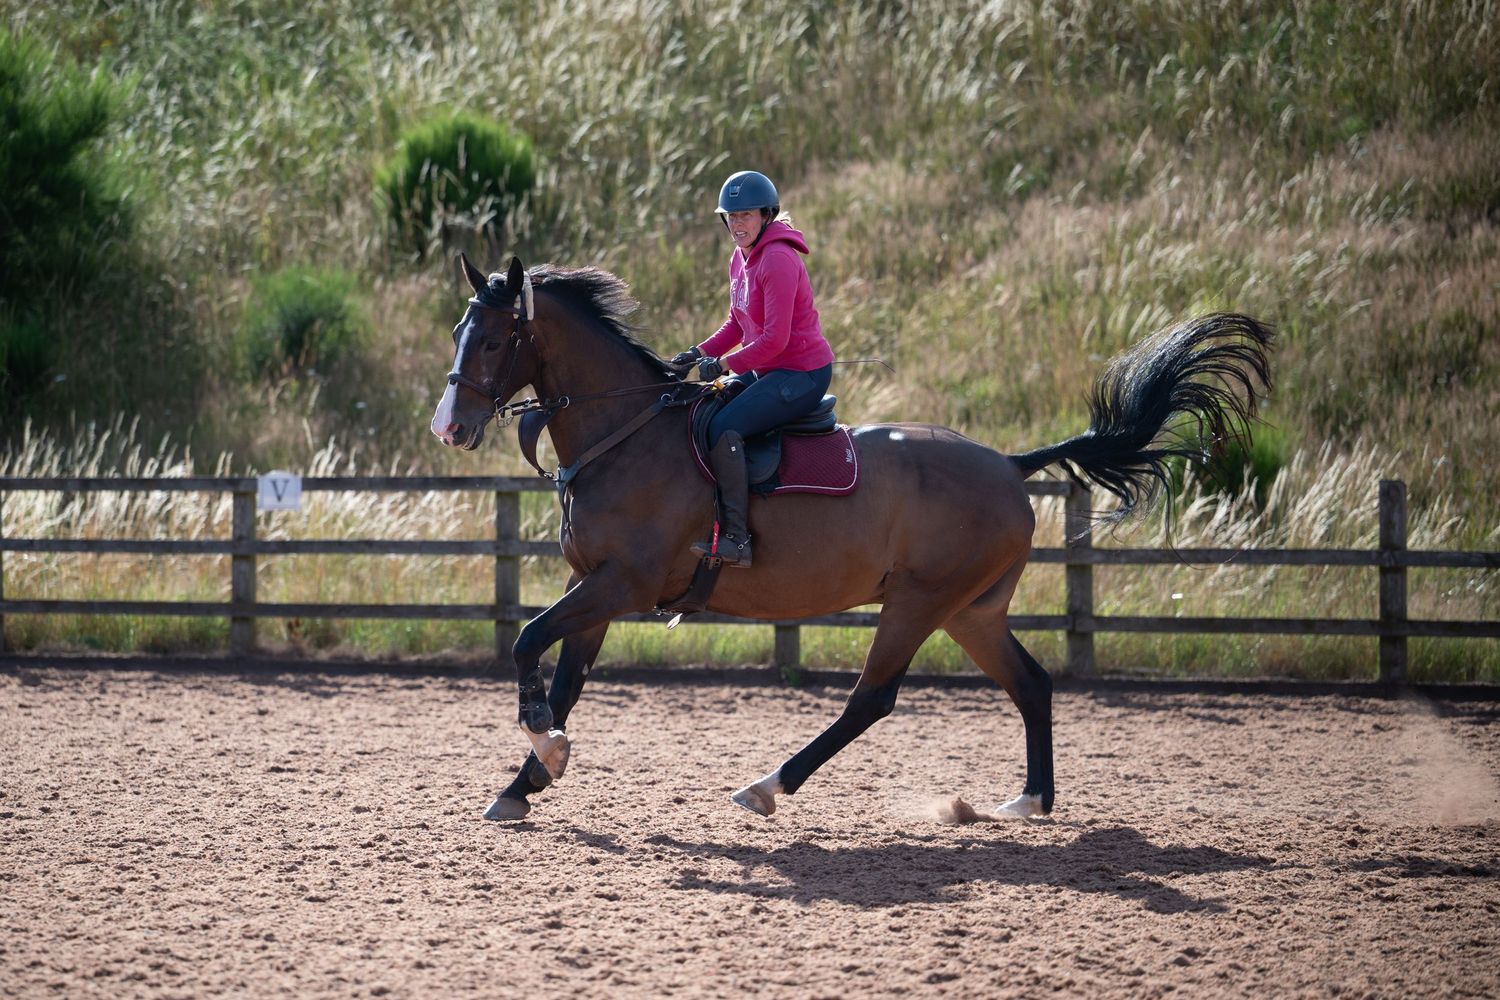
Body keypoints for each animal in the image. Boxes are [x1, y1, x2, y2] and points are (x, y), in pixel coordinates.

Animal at [430, 254, 1272, 822]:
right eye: (459, 332)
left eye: (497, 340)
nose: (449, 427)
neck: (625, 433)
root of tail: (1009, 463)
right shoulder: (595, 588)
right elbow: (562, 678)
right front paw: (526, 780)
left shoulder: (621, 585)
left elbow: (526, 645)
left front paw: (543, 748)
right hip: (971, 611)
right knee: (1031, 683)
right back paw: (1029, 801)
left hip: (919, 603)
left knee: (873, 699)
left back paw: (768, 786)